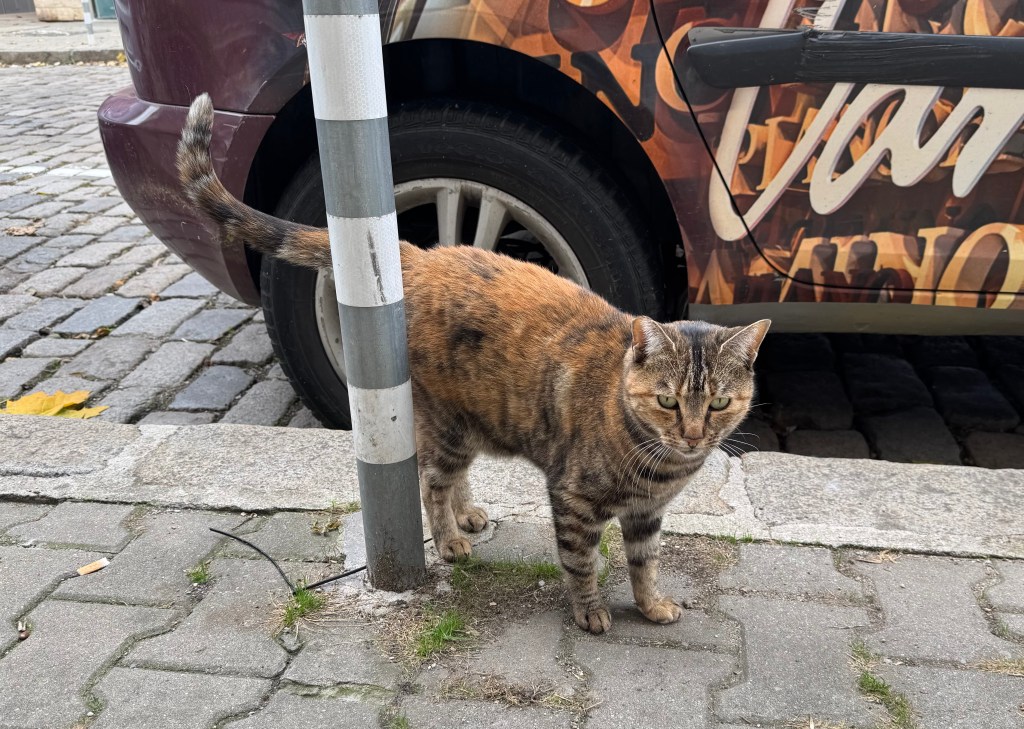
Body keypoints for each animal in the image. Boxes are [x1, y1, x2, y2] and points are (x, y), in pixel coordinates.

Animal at [177, 93, 770, 634]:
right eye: (668, 400)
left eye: (719, 403)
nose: (693, 435)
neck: (658, 464)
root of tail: (420, 254)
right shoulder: (573, 499)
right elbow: (581, 562)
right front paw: (589, 611)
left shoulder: (647, 516)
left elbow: (645, 565)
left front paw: (650, 605)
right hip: (448, 425)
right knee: (429, 481)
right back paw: (449, 539)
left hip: (472, 419)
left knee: (447, 476)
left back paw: (466, 513)